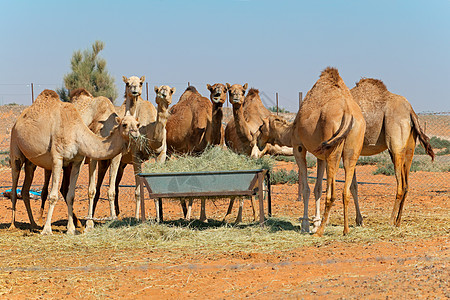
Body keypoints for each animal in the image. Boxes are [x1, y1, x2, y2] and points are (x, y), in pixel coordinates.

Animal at [9, 89, 140, 234]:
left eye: (138, 124)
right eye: (125, 125)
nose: (136, 135)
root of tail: (18, 121)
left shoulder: (77, 161)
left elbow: (71, 195)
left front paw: (71, 229)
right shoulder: (57, 159)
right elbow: (53, 196)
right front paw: (47, 230)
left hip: (31, 161)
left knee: (25, 190)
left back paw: (34, 224)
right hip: (15, 147)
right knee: (15, 184)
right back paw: (13, 225)